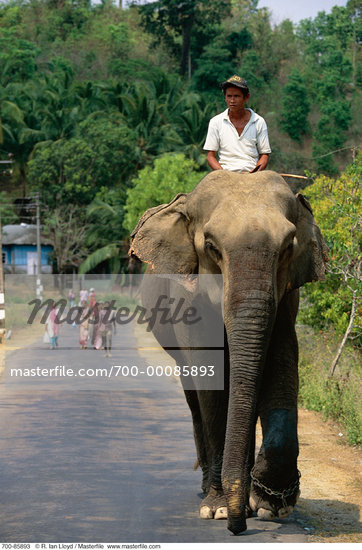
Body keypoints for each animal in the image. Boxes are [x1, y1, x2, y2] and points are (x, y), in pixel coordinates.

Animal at [128, 170, 328, 536]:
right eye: (211, 247)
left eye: (287, 248)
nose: (238, 528)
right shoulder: (189, 301)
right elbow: (213, 382)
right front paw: (220, 510)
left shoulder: (287, 297)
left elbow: (282, 368)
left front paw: (270, 505)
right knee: (194, 396)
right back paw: (212, 491)